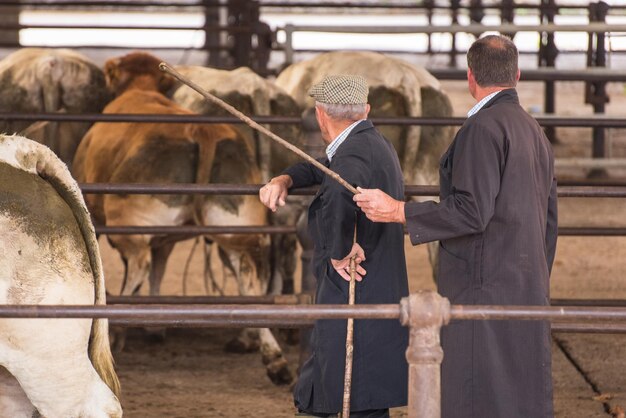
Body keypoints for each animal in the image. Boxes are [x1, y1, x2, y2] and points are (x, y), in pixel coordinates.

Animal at [72, 51, 292, 386]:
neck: (141, 89)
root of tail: (203, 130)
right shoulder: (167, 237)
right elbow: (160, 270)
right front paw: (155, 326)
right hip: (236, 228)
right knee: (250, 278)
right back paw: (274, 358)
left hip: (131, 225)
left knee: (137, 266)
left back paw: (116, 330)